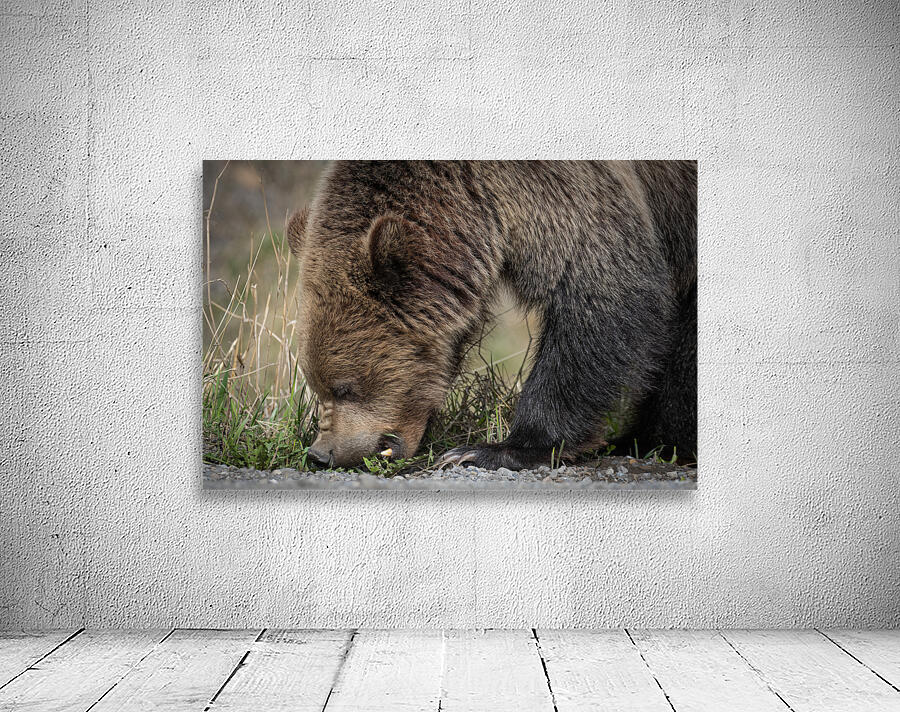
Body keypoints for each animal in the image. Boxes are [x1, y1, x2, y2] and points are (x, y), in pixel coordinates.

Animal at [286, 160, 696, 470]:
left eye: (346, 387)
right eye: (315, 383)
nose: (321, 454)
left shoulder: (566, 192)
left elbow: (604, 295)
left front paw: (493, 449)